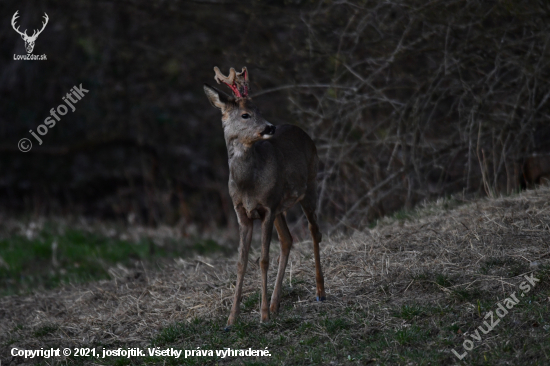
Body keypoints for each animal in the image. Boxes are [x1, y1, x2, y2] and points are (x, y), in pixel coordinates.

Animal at [206, 66, 328, 328]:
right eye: (245, 114)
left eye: (259, 109)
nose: (270, 127)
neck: (248, 184)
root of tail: (302, 131)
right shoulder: (243, 212)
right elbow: (241, 262)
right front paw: (231, 319)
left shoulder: (267, 208)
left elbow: (262, 259)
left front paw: (262, 316)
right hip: (281, 205)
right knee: (288, 240)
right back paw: (275, 303)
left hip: (310, 184)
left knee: (315, 231)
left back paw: (320, 292)